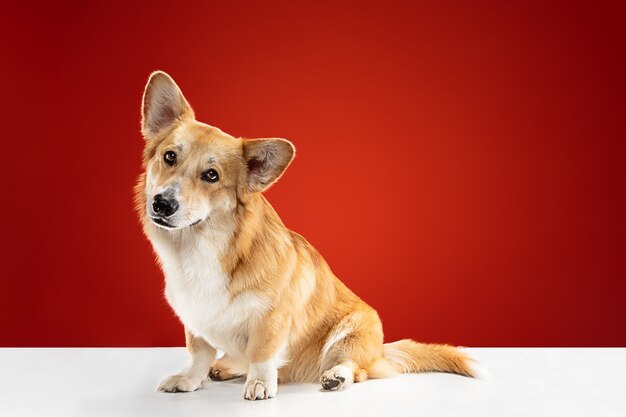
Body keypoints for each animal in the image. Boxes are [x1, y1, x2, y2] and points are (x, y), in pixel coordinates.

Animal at [133, 71, 472, 400]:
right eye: (169, 157)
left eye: (211, 175)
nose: (162, 203)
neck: (200, 246)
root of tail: (381, 352)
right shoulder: (195, 320)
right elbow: (199, 354)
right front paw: (190, 380)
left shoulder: (272, 318)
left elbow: (262, 353)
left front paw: (260, 384)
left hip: (353, 331)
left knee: (355, 367)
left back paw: (335, 376)